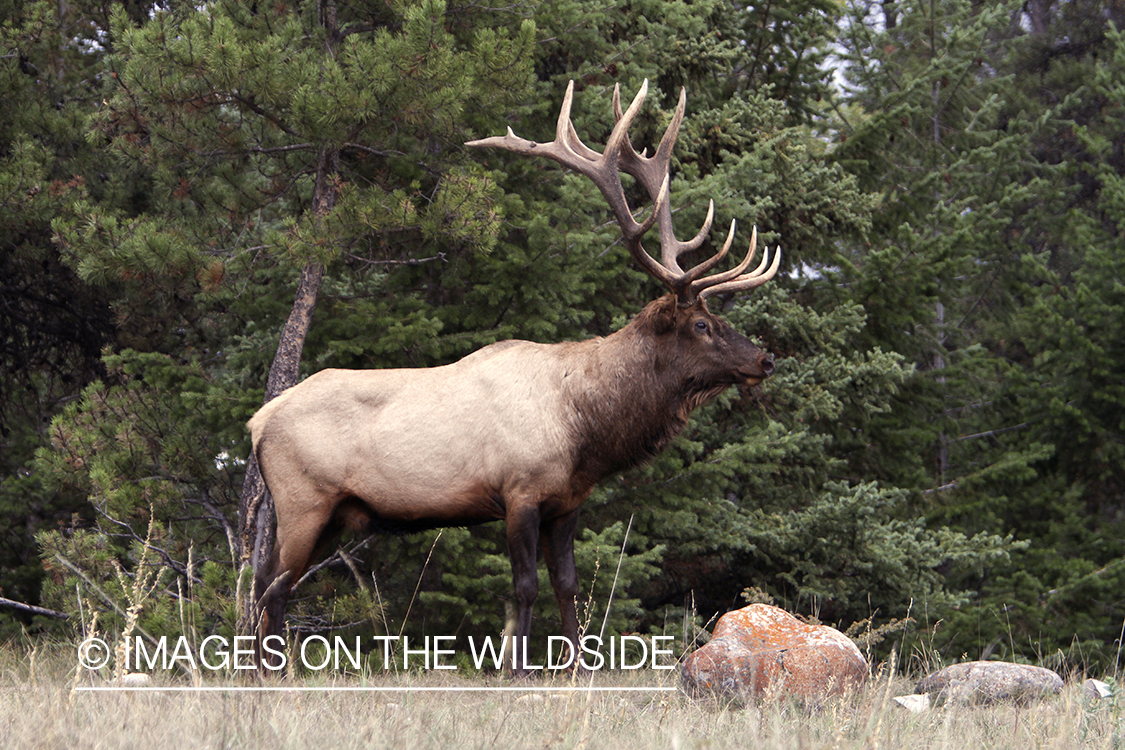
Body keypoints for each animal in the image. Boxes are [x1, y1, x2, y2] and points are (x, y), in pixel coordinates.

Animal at [252, 82, 783, 674]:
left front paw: (577, 668)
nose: (764, 360)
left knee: (262, 581)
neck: (586, 426)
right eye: (701, 324)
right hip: (304, 500)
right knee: (274, 588)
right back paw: (272, 676)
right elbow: (525, 588)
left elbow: (567, 585)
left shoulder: (567, 502)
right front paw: (515, 668)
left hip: (333, 515)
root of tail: (257, 423)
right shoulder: (519, 491)